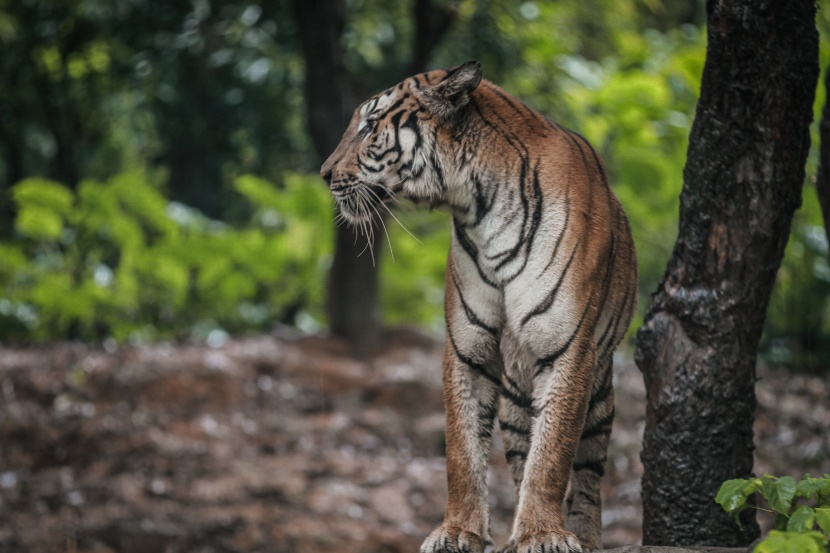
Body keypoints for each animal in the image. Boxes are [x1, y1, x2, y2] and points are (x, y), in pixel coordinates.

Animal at [322, 61, 640, 552]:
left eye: (370, 126)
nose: (323, 173)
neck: (481, 207)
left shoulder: (568, 347)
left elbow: (553, 453)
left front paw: (544, 534)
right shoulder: (466, 346)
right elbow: (463, 449)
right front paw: (459, 531)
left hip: (600, 391)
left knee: (588, 469)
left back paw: (584, 536)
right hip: (515, 398)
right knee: (520, 450)